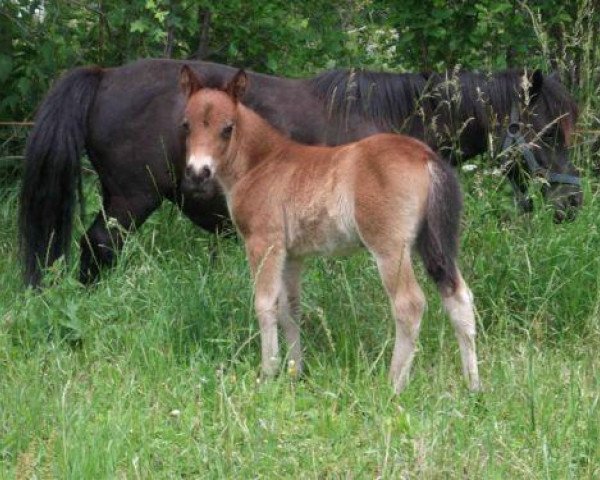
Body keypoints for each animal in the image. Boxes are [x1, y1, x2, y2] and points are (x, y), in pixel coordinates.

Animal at [180, 64, 480, 394]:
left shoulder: (263, 243)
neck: (262, 164)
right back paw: (474, 386)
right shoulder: (292, 255)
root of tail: (425, 156)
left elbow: (265, 304)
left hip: (391, 249)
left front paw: (268, 374)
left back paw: (393, 385)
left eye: (227, 128)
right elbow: (290, 309)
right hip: (433, 242)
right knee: (459, 296)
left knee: (409, 304)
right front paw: (294, 372)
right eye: (186, 126)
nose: (198, 172)